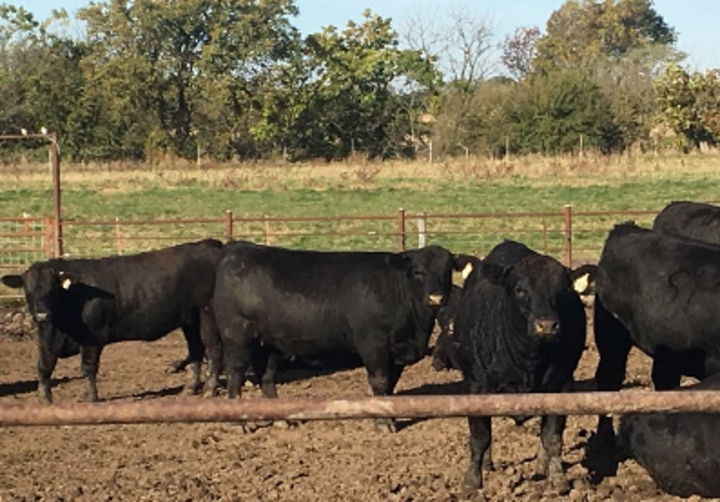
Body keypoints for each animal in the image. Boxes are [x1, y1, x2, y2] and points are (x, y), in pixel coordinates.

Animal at [205, 242, 458, 432]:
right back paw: (238, 423)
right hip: (237, 339)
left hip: (267, 344)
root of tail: (237, 250)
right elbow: (379, 381)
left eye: (446, 272)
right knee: (236, 375)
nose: (436, 298)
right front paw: (384, 423)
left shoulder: (396, 352)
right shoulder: (374, 345)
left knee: (266, 377)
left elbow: (390, 386)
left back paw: (281, 420)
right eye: (419, 272)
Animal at [456, 241, 584, 492]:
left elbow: (552, 437)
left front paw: (558, 477)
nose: (547, 325)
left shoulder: (562, 385)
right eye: (520, 290)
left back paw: (542, 465)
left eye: (562, 290)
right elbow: (480, 438)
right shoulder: (476, 387)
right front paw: (472, 480)